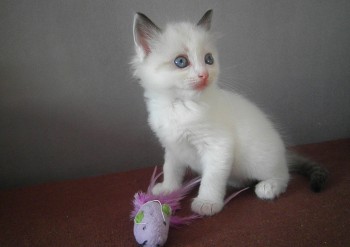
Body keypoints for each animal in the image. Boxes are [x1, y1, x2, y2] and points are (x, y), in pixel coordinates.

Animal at [131, 9, 328, 215]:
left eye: (209, 59)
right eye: (181, 62)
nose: (204, 75)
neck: (179, 105)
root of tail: (283, 154)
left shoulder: (218, 146)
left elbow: (212, 178)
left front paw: (207, 203)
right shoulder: (172, 147)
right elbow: (171, 169)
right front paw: (168, 190)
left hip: (259, 159)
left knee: (284, 175)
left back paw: (269, 186)